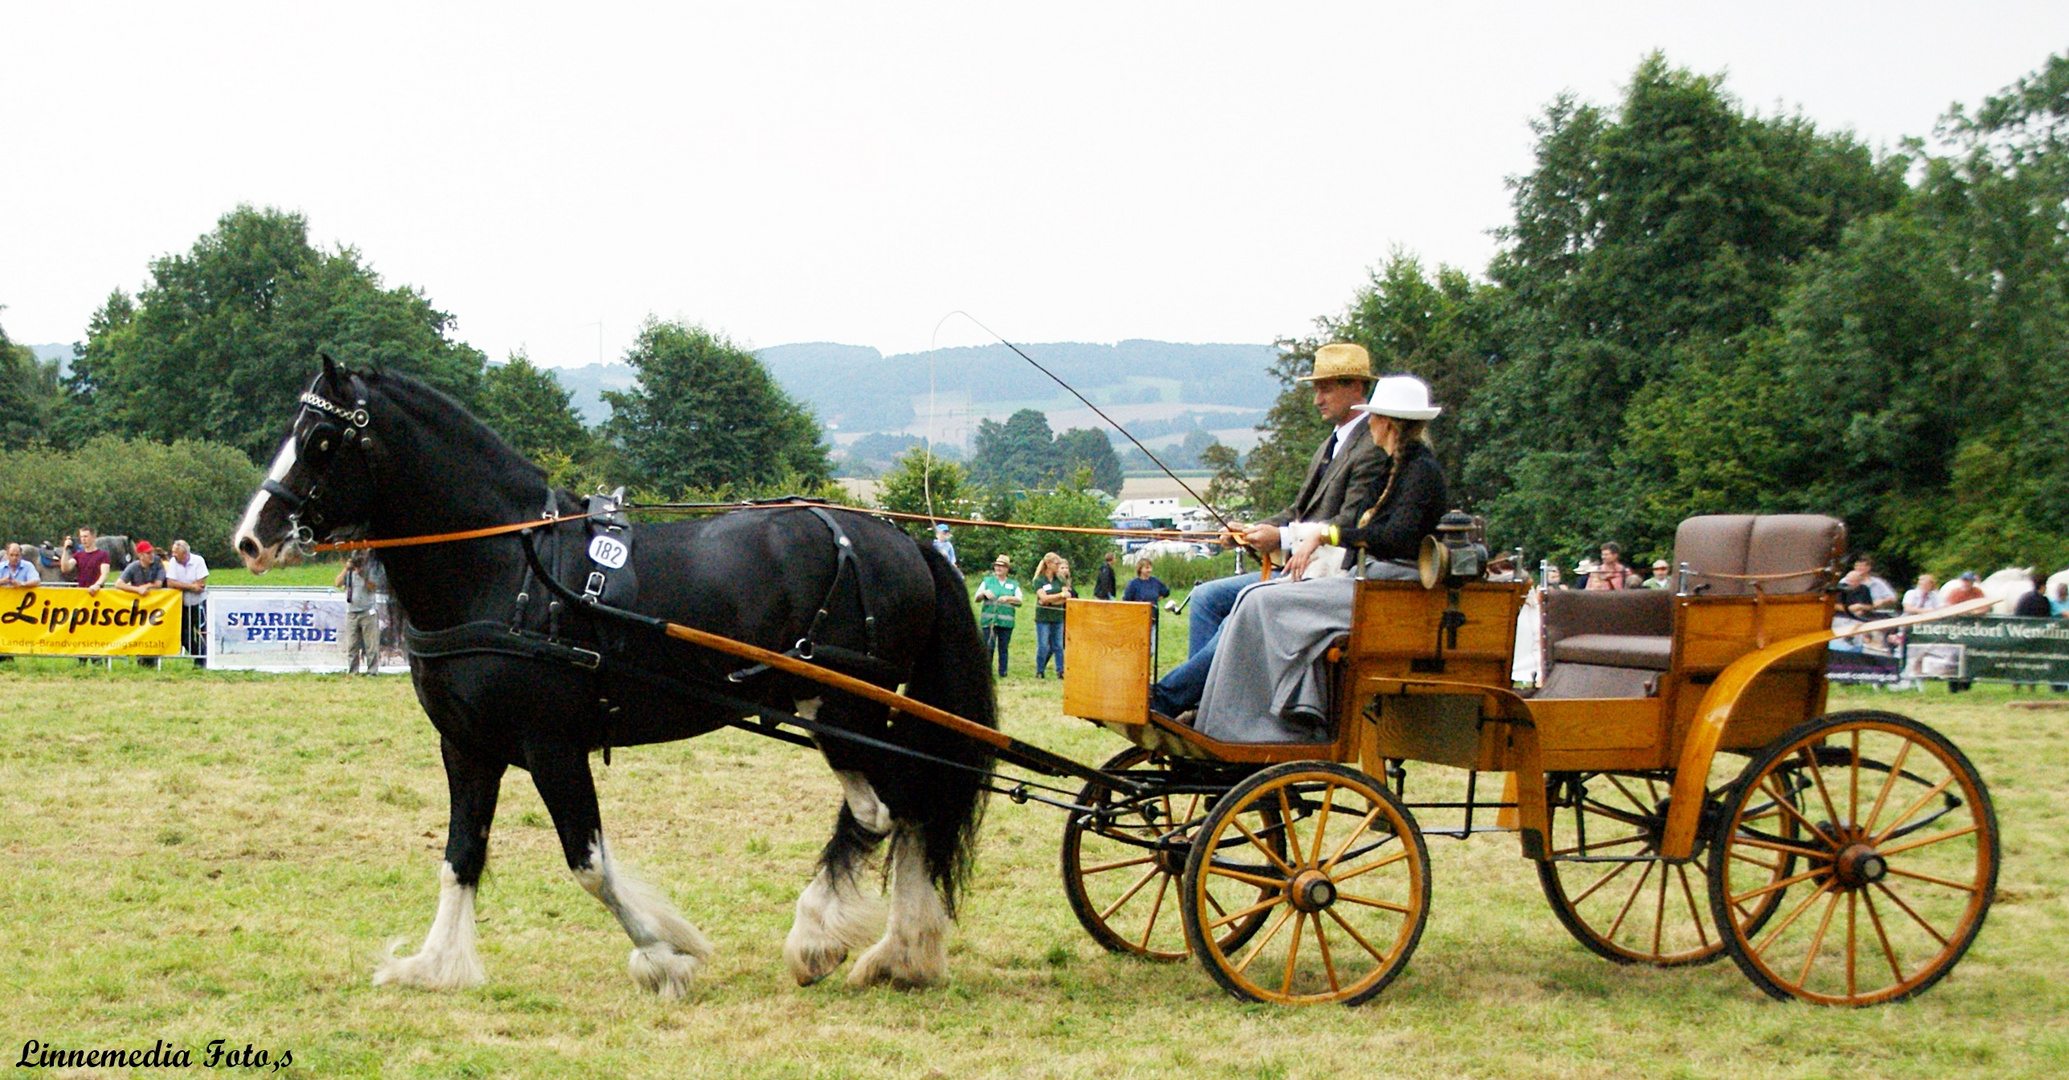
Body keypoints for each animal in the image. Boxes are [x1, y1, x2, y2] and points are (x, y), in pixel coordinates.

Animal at [234, 360, 993, 993]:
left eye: (322, 439)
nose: (250, 538)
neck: (504, 570)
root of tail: (903, 539)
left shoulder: (551, 745)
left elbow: (588, 863)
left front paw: (667, 956)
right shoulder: (468, 746)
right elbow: (461, 854)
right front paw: (435, 964)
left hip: (842, 711)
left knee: (890, 806)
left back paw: (829, 941)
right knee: (908, 804)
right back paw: (901, 954)